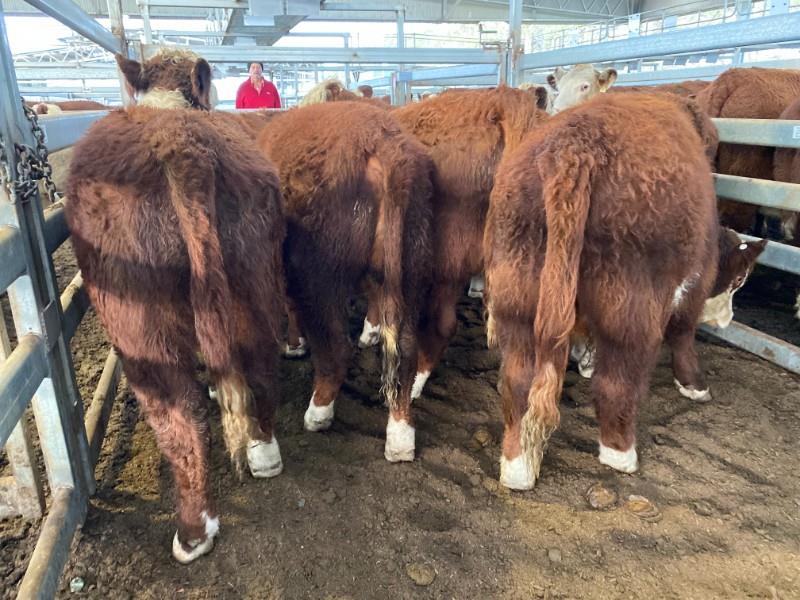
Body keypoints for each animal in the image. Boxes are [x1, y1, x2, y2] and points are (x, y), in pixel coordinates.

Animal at [66, 48, 286, 563]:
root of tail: (181, 147)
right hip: (252, 277)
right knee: (260, 362)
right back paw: (264, 453)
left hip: (137, 321)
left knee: (178, 413)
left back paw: (193, 530)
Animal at [255, 101, 434, 461]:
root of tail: (382, 142)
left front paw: (294, 344)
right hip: (411, 262)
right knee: (406, 349)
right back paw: (400, 438)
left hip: (319, 274)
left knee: (335, 349)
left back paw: (318, 413)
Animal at [483, 92, 765, 490]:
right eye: (738, 280)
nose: (728, 319)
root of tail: (574, 148)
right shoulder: (694, 281)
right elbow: (683, 332)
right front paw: (694, 385)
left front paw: (586, 361)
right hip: (630, 307)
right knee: (617, 382)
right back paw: (620, 453)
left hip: (518, 294)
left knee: (518, 381)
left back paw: (518, 468)